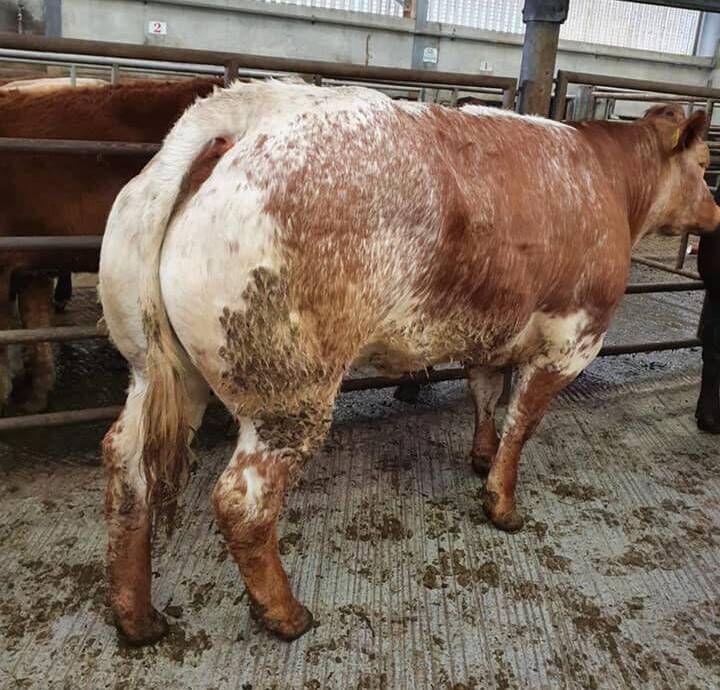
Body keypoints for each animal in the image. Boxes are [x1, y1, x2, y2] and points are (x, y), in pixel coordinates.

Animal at [98, 82, 720, 645]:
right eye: (704, 164)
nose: (715, 213)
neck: (608, 180)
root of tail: (247, 113)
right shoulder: (574, 338)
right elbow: (522, 423)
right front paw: (502, 503)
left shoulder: (490, 330)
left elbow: (485, 393)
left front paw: (480, 456)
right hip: (287, 391)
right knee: (242, 501)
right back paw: (285, 615)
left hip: (156, 368)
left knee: (126, 465)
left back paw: (137, 617)